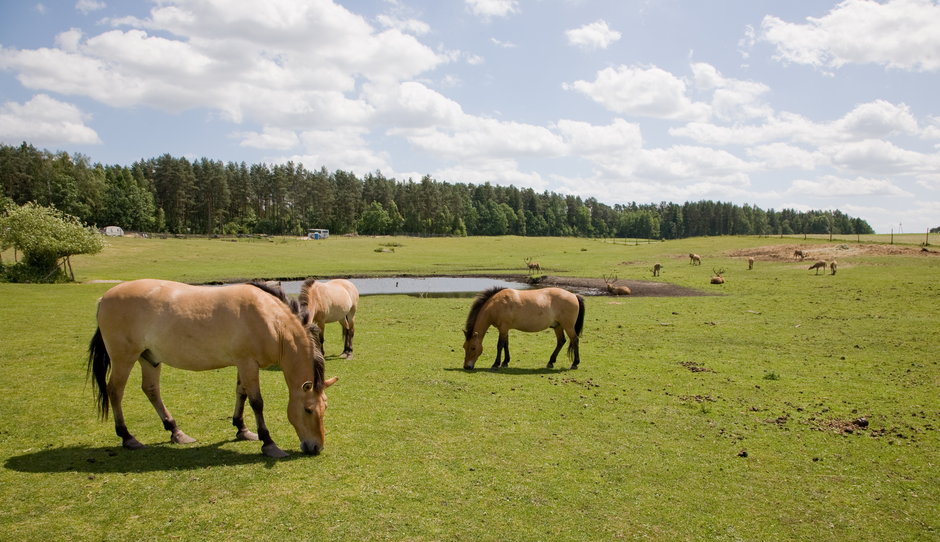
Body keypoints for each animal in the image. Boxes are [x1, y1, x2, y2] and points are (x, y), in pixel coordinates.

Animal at [87, 280, 338, 460]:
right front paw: (268, 443)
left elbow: (241, 394)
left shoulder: (243, 363)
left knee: (151, 390)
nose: (316, 447)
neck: (272, 320)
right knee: (115, 391)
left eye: (325, 407)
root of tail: (103, 298)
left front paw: (242, 429)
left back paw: (175, 431)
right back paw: (127, 437)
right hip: (124, 358)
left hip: (150, 358)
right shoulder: (247, 363)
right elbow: (257, 402)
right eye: (308, 409)